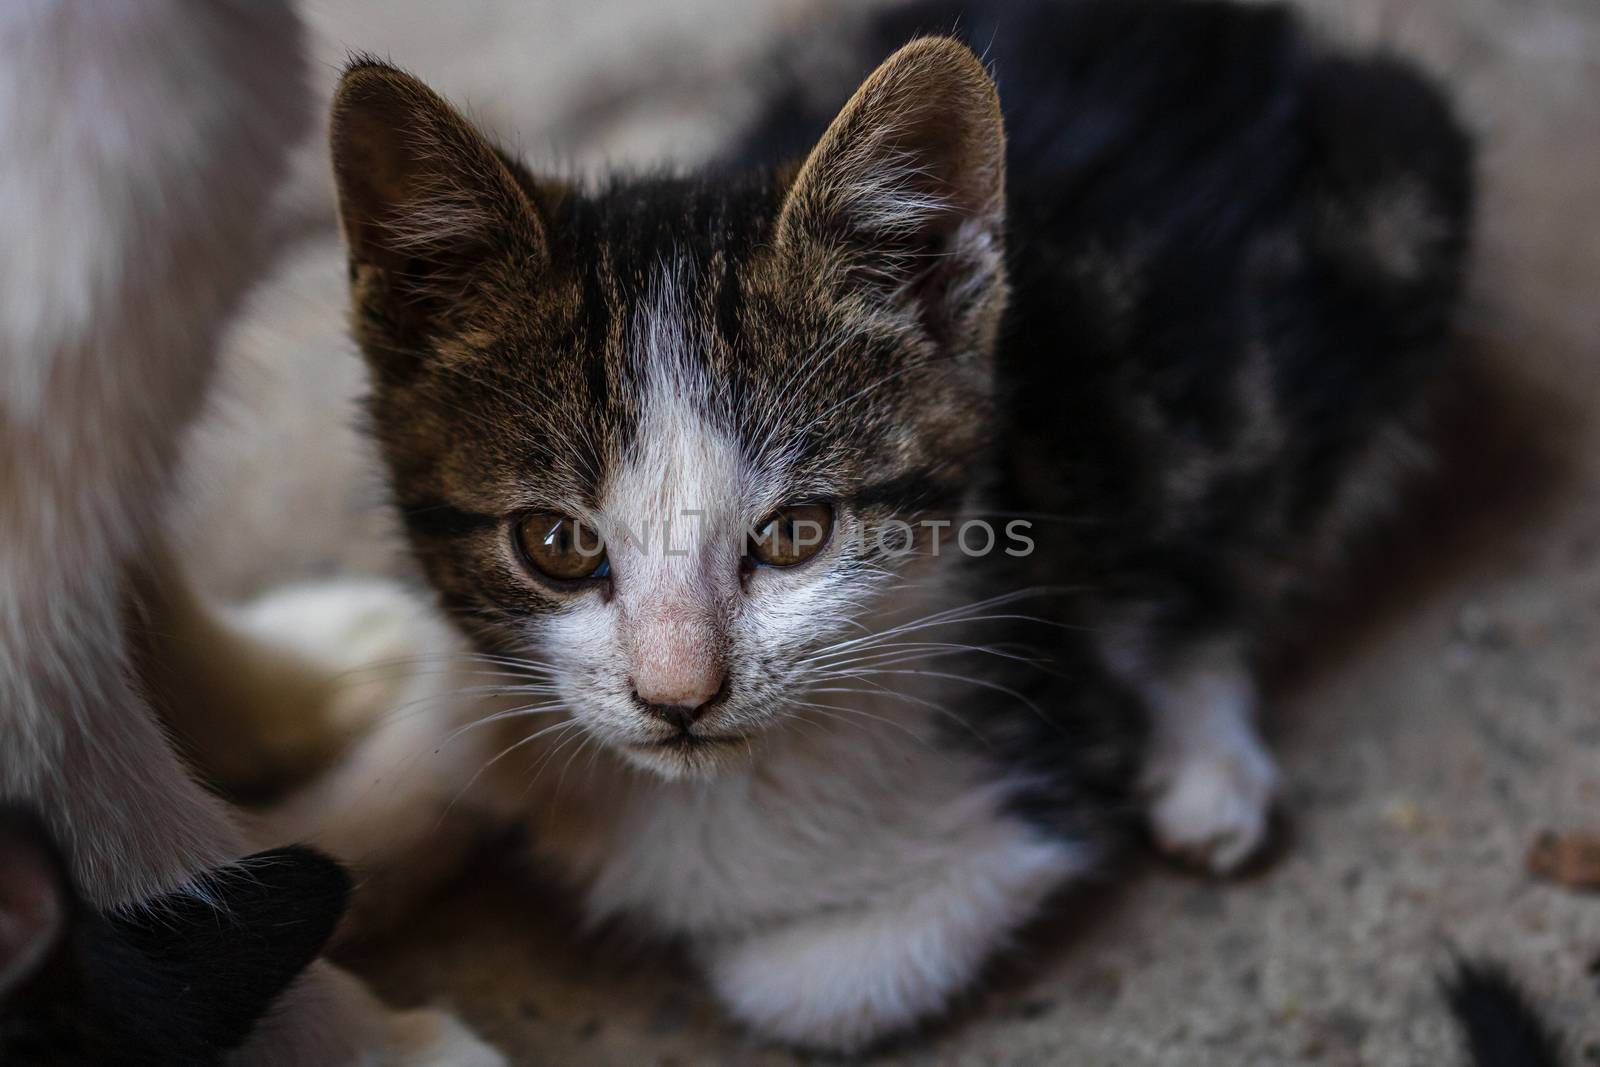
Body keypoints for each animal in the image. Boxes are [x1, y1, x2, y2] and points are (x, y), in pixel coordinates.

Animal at [291, 0, 1472, 1049]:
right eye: (557, 544)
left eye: (796, 532)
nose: (678, 699)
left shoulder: (1039, 775)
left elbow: (804, 983)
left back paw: (1205, 758)